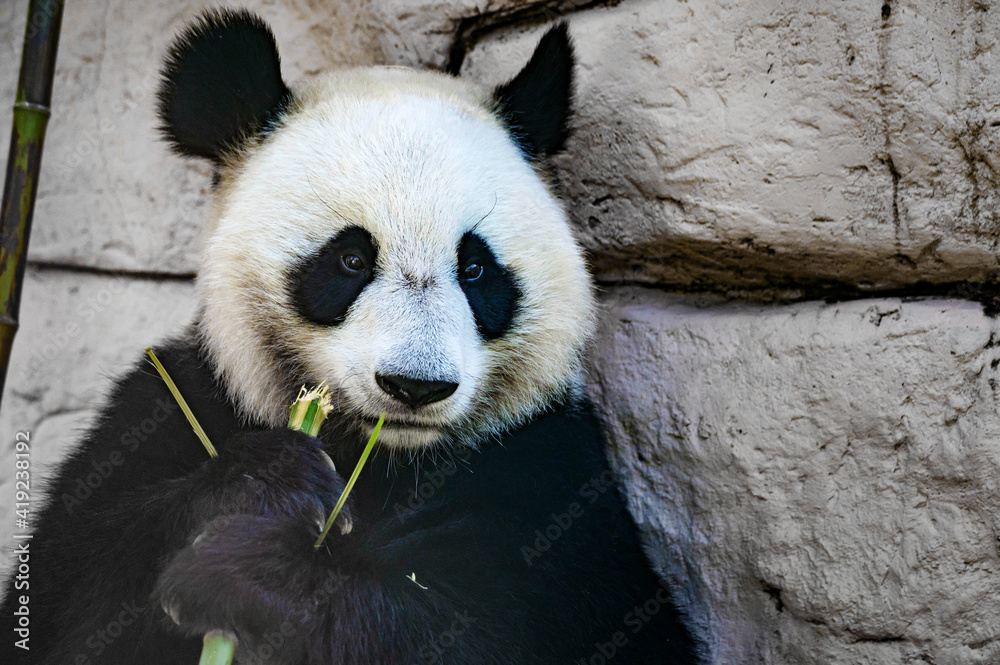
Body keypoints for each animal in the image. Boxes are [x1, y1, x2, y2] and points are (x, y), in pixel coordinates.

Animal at [2, 8, 700, 665]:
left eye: (475, 268)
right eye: (351, 259)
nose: (415, 386)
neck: (386, 458)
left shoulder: (552, 477)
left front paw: (255, 581)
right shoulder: (165, 410)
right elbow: (67, 601)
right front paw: (265, 484)